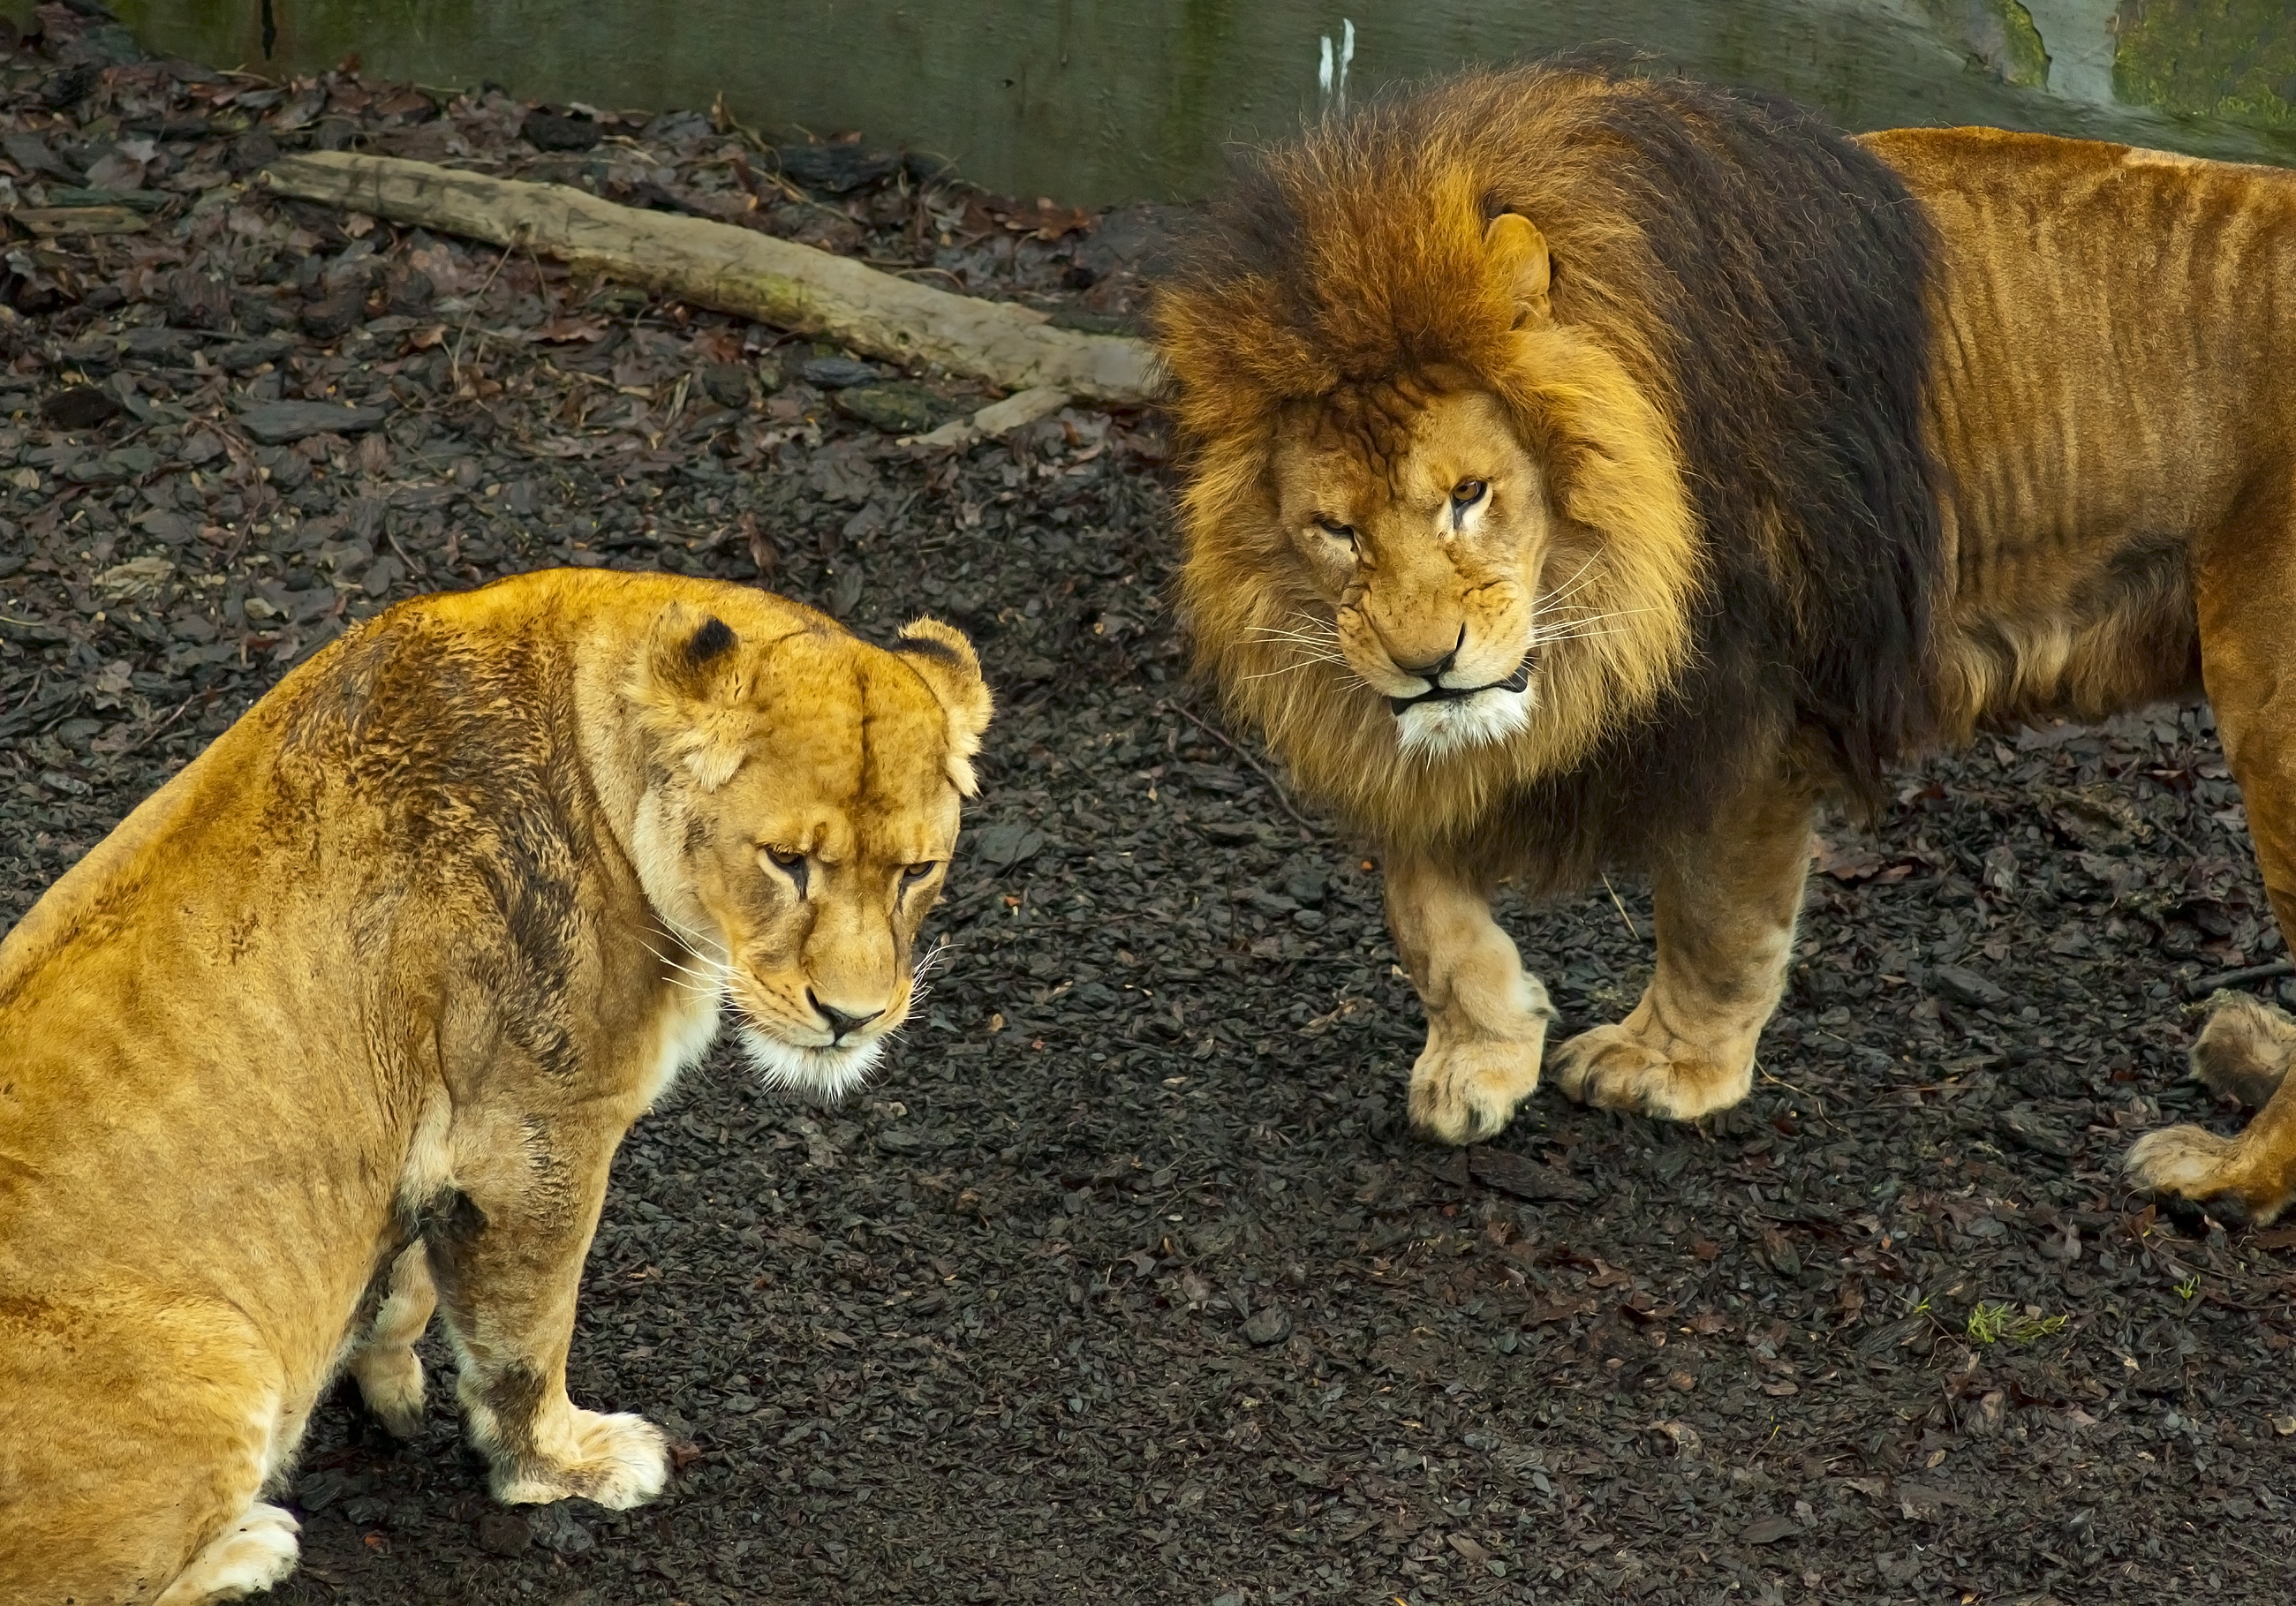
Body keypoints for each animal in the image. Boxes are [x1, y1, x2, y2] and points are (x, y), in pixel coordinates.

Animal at [0, 573, 987, 1606]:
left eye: (918, 870)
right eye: (786, 860)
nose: (851, 1017)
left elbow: (408, 1283)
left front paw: (385, 1373)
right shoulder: (533, 1130)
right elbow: (526, 1330)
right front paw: (558, 1464)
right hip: (219, 1353)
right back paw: (254, 1544)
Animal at [1157, 59, 2296, 1220]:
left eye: (1467, 495)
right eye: (1334, 530)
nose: (1424, 662)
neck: (1610, 575)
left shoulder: (1753, 707)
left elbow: (1713, 915)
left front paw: (1668, 1065)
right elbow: (1416, 896)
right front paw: (1481, 1053)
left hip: (2272, 719)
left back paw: (2222, 1168)